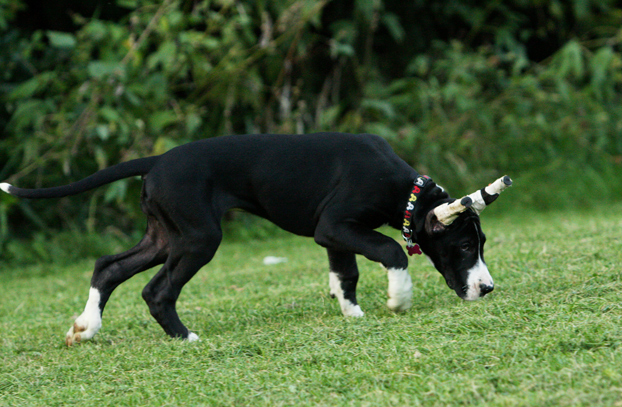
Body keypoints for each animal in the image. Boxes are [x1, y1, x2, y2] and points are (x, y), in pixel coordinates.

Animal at [0, 133, 512, 344]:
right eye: (465, 247)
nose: (487, 289)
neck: (405, 191)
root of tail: (156, 160)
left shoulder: (335, 235)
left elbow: (344, 272)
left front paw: (351, 311)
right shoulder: (336, 225)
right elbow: (388, 249)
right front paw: (398, 298)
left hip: (165, 236)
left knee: (109, 266)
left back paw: (86, 326)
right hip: (198, 238)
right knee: (156, 290)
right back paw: (185, 337)